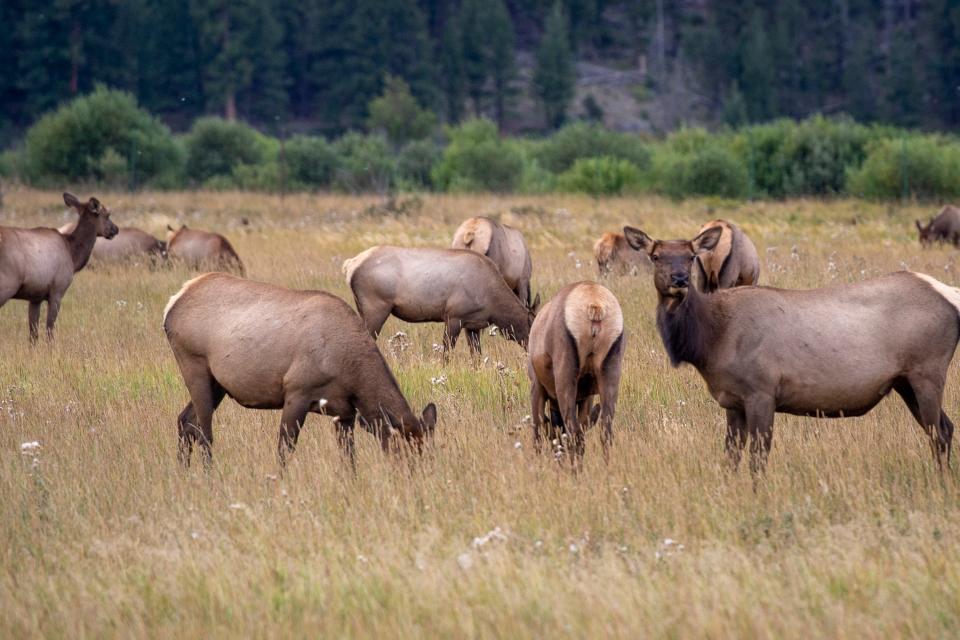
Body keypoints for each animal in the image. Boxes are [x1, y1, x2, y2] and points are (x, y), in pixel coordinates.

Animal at [0, 192, 119, 342]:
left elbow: (33, 334)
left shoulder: (35, 296)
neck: (73, 255)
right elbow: (49, 331)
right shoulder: (57, 291)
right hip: (6, 284)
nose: (116, 229)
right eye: (107, 215)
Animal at [163, 272, 436, 468]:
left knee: (185, 421)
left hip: (217, 383)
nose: (415, 479)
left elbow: (349, 459)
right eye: (405, 454)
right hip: (194, 366)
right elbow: (284, 450)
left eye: (426, 454)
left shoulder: (345, 412)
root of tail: (171, 305)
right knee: (204, 432)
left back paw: (184, 472)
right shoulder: (296, 393)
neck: (353, 374)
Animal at [344, 244, 540, 356]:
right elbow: (446, 353)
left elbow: (476, 356)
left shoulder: (473, 325)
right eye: (532, 330)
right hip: (376, 308)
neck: (493, 306)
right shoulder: (453, 316)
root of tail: (350, 265)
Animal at [524, 282, 624, 462]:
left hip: (565, 379)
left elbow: (538, 428)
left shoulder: (536, 386)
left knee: (573, 430)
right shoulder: (586, 397)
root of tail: (594, 305)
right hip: (610, 372)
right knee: (604, 431)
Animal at [624, 226, 960, 476]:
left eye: (691, 256)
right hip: (904, 382)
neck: (710, 341)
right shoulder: (732, 400)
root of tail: (951, 295)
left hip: (927, 372)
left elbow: (758, 458)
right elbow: (731, 456)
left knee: (939, 432)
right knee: (944, 427)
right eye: (656, 256)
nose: (679, 280)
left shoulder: (761, 391)